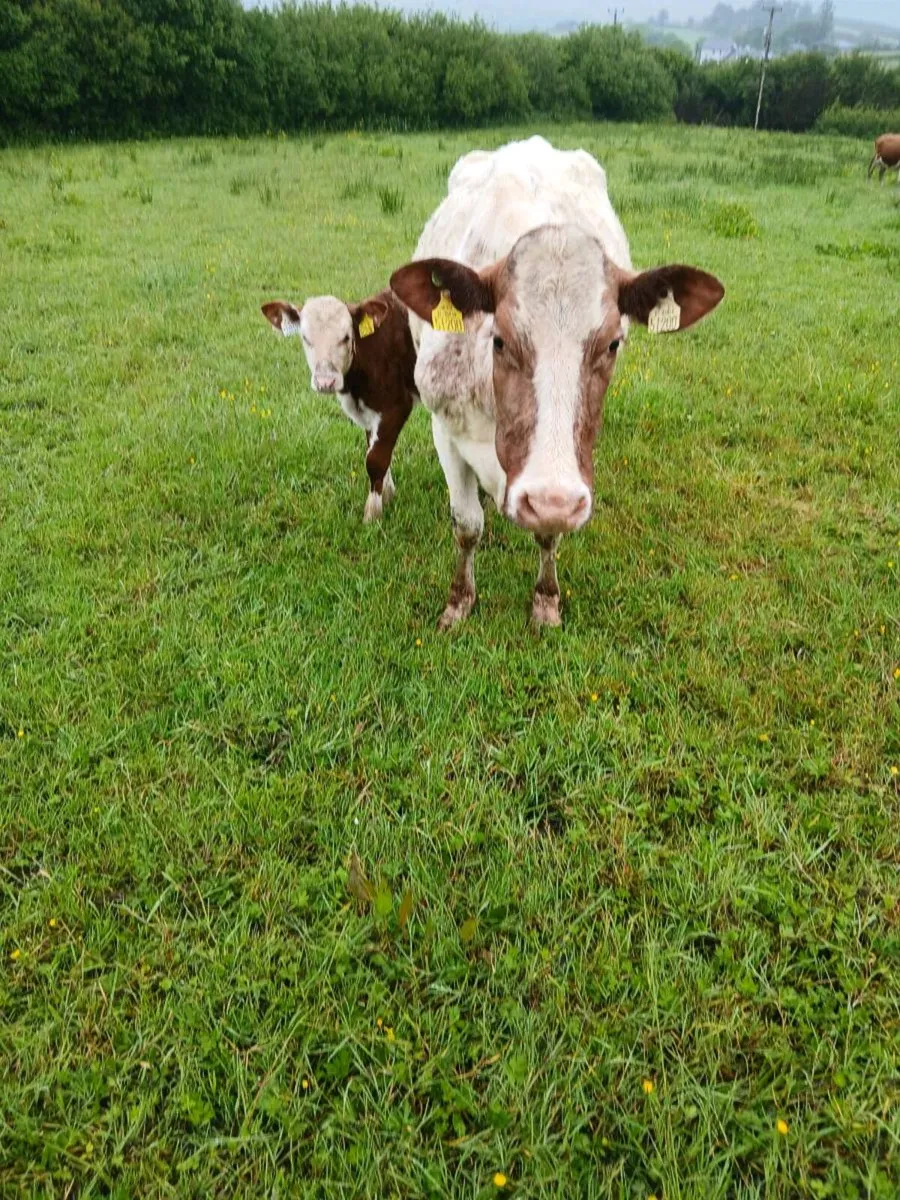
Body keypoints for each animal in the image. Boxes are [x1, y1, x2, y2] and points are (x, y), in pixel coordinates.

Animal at [262, 291, 418, 522]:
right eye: (305, 338)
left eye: (346, 337)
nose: (325, 381)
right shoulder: (370, 412)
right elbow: (376, 449)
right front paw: (388, 495)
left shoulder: (397, 406)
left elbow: (376, 459)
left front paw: (372, 514)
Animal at [389, 136, 724, 629]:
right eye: (499, 339)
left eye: (614, 343)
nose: (551, 499)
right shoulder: (444, 427)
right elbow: (466, 525)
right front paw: (458, 601)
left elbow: (548, 534)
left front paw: (545, 600)